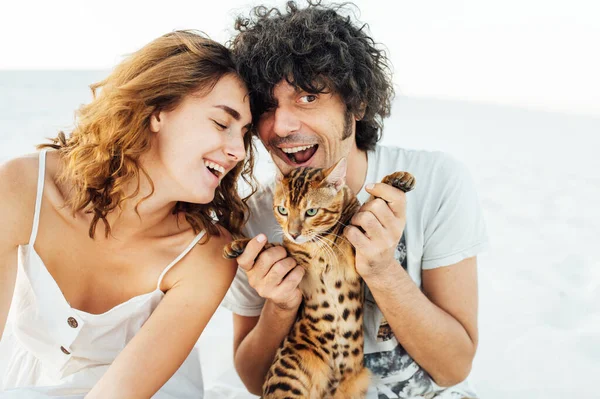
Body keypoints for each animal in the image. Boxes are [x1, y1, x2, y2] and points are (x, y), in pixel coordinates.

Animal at [223, 158, 414, 398]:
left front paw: (398, 178)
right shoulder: (295, 260)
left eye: (312, 211)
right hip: (288, 377)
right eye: (283, 210)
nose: (293, 233)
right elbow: (273, 247)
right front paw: (239, 245)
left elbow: (362, 213)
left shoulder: (356, 253)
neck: (317, 244)